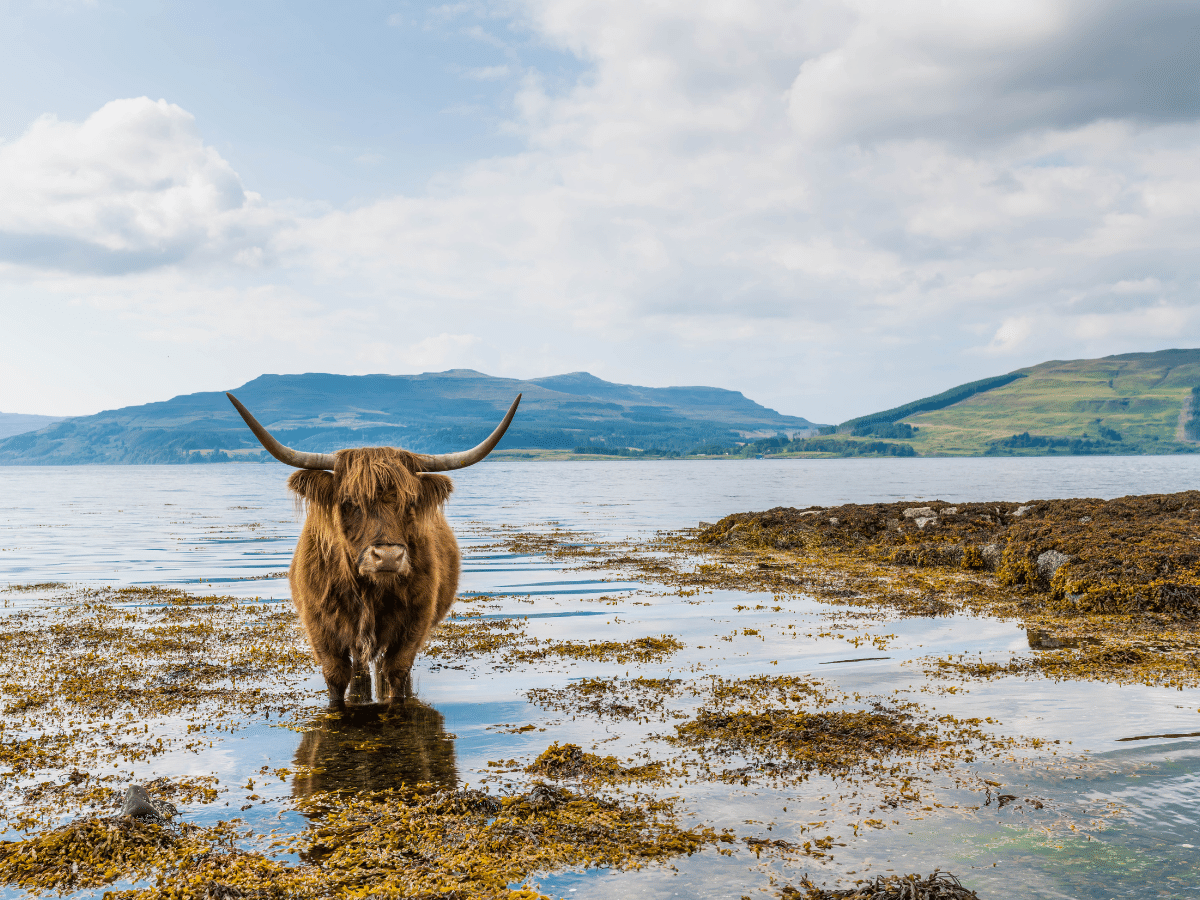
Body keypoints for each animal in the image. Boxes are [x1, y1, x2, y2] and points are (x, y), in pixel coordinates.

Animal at [226, 393, 518, 710]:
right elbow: (336, 677)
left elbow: (397, 673)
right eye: (350, 502)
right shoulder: (320, 627)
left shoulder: (414, 623)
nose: (388, 557)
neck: (369, 590)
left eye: (410, 502)